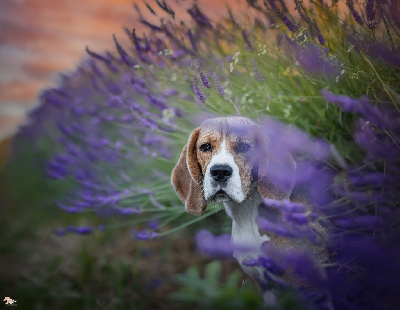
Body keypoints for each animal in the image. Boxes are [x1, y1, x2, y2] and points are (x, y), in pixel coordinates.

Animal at [170, 117, 330, 306]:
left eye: (244, 147)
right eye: (205, 146)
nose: (220, 171)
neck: (246, 215)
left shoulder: (312, 288)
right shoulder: (265, 286)